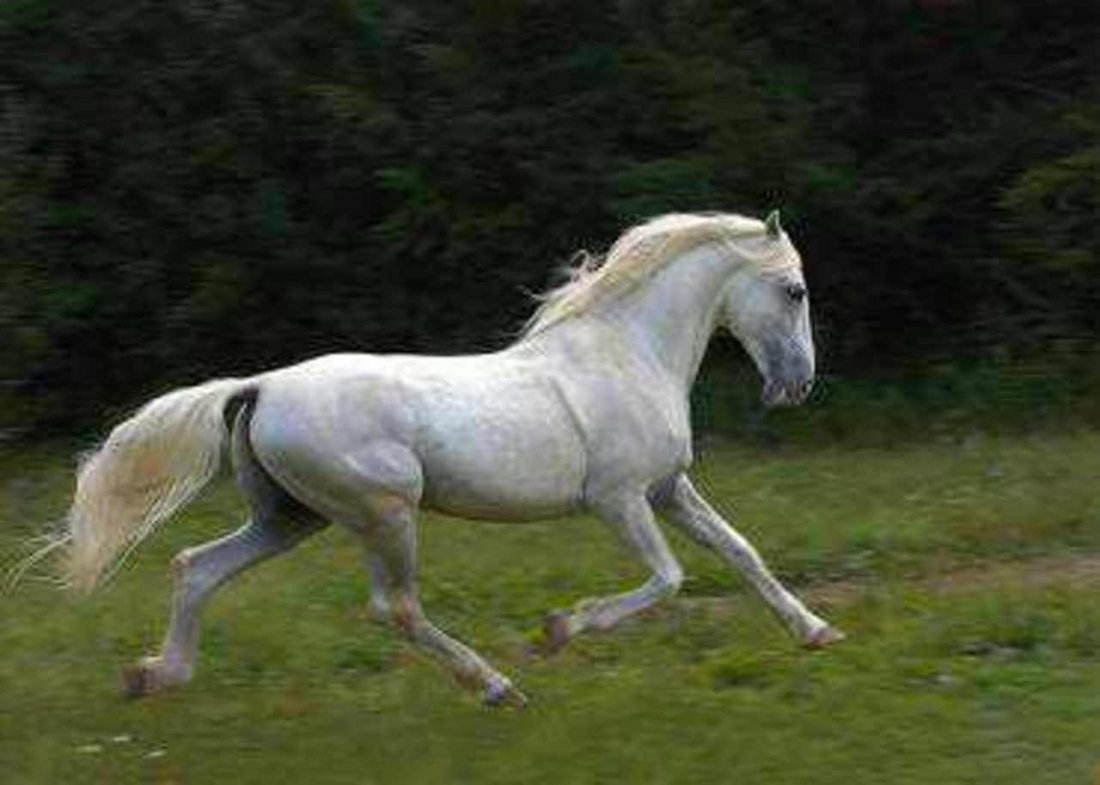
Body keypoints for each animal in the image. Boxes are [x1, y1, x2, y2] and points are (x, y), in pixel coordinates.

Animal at [42, 210, 843, 706]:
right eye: (794, 289)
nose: (797, 385)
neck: (627, 352)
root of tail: (260, 386)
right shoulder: (618, 499)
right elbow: (669, 578)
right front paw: (561, 628)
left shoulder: (669, 486)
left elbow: (740, 552)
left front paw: (816, 632)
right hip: (383, 514)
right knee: (393, 607)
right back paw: (497, 687)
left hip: (290, 516)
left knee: (197, 567)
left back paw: (153, 676)